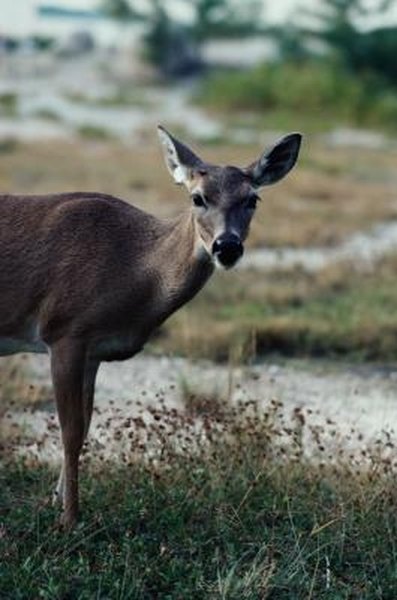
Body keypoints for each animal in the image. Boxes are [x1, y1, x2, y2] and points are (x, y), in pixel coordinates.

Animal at [0, 125, 300, 524]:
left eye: (253, 199)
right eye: (197, 198)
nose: (227, 246)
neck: (134, 268)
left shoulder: (93, 350)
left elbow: (85, 426)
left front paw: (57, 501)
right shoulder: (64, 331)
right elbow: (70, 431)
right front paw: (70, 519)